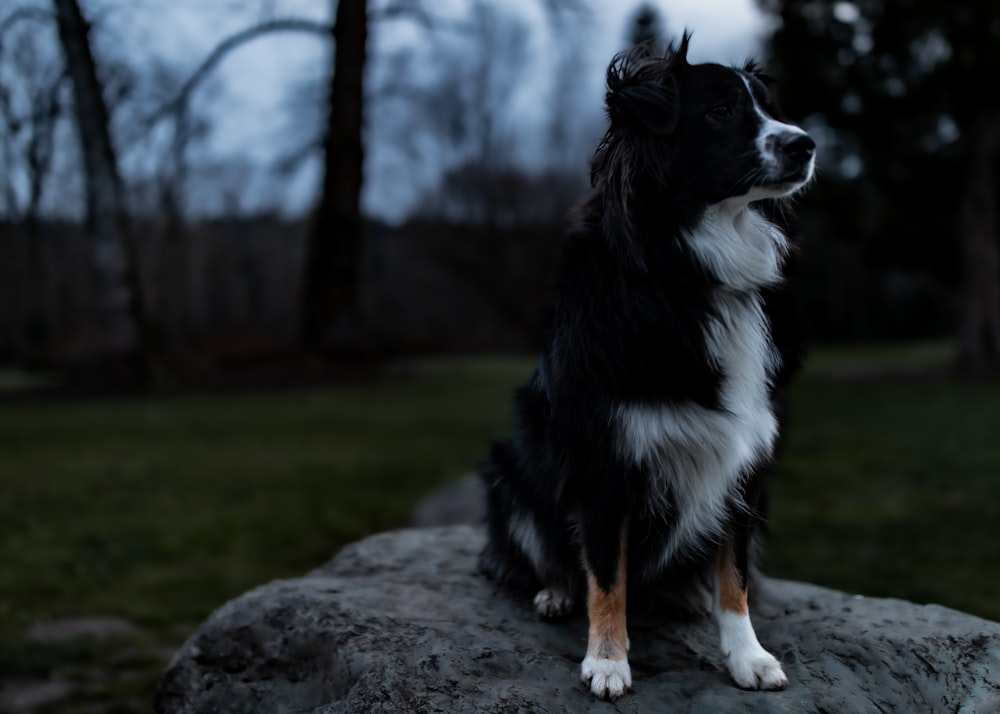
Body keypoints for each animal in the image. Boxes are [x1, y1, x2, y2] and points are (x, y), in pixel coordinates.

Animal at [480, 33, 816, 696]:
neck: (690, 272)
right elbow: (607, 573)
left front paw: (747, 654)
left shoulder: (746, 462)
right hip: (509, 472)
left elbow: (735, 572)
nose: (807, 144)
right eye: (720, 111)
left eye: (767, 107)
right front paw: (608, 660)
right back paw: (555, 593)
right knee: (547, 556)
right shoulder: (604, 460)